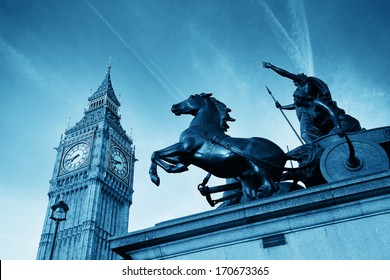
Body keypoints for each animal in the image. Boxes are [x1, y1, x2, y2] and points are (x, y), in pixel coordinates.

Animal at [149, 93, 292, 202]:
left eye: (192, 97)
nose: (174, 106)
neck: (203, 127)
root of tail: (284, 154)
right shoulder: (185, 158)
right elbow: (162, 157)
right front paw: (174, 169)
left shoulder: (184, 147)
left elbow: (155, 154)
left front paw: (155, 178)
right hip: (248, 177)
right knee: (252, 193)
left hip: (258, 166)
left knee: (270, 187)